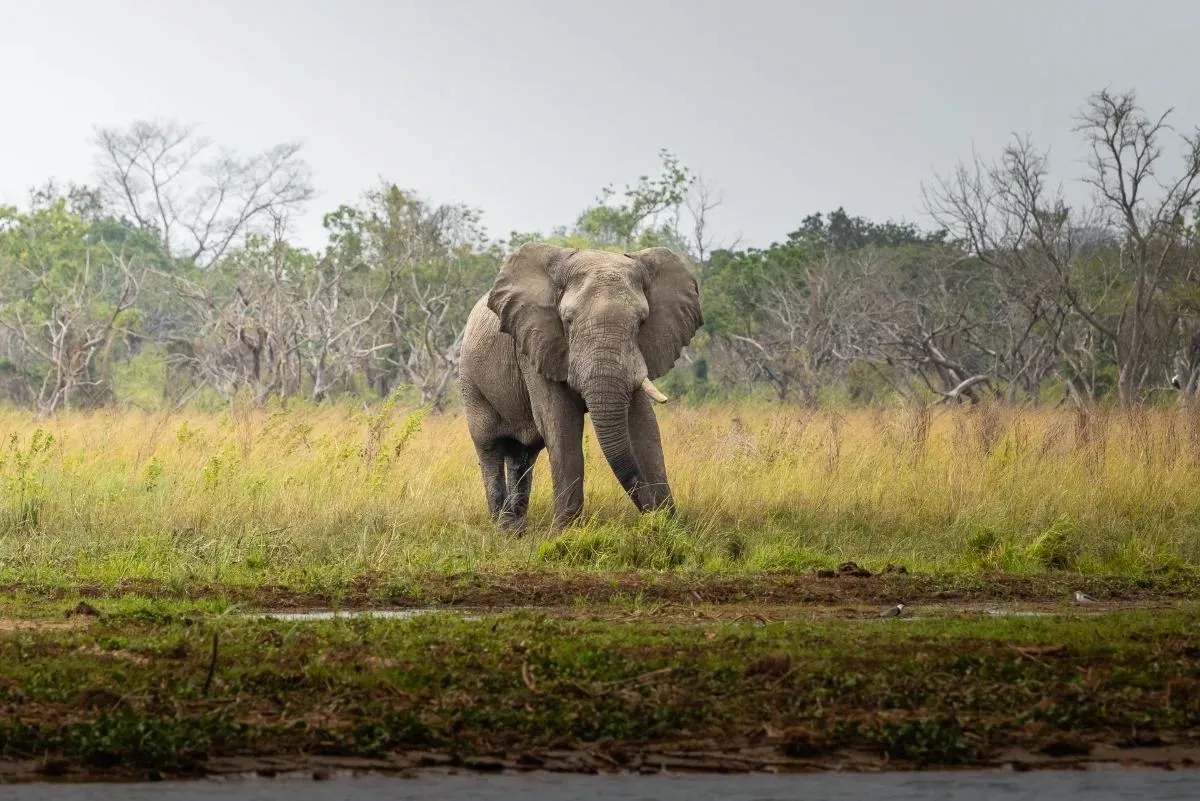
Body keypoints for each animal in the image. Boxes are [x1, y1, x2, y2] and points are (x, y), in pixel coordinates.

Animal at [458, 242, 703, 532]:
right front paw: (562, 534)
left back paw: (517, 528)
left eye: (641, 322)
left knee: (524, 454)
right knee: (490, 446)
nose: (651, 514)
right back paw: (504, 528)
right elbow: (561, 423)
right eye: (568, 320)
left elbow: (644, 425)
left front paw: (672, 529)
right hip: (471, 381)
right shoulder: (536, 344)